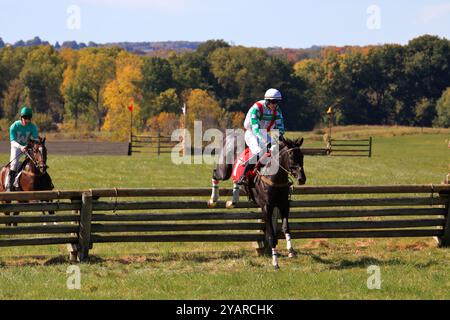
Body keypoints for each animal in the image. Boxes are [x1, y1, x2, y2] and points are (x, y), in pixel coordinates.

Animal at [208, 136, 306, 270]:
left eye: (302, 155)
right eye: (291, 156)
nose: (302, 179)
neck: (274, 177)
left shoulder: (284, 205)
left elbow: (286, 228)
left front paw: (291, 250)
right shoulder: (266, 208)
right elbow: (272, 236)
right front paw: (275, 263)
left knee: (235, 180)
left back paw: (232, 201)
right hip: (224, 170)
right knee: (215, 174)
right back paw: (213, 199)